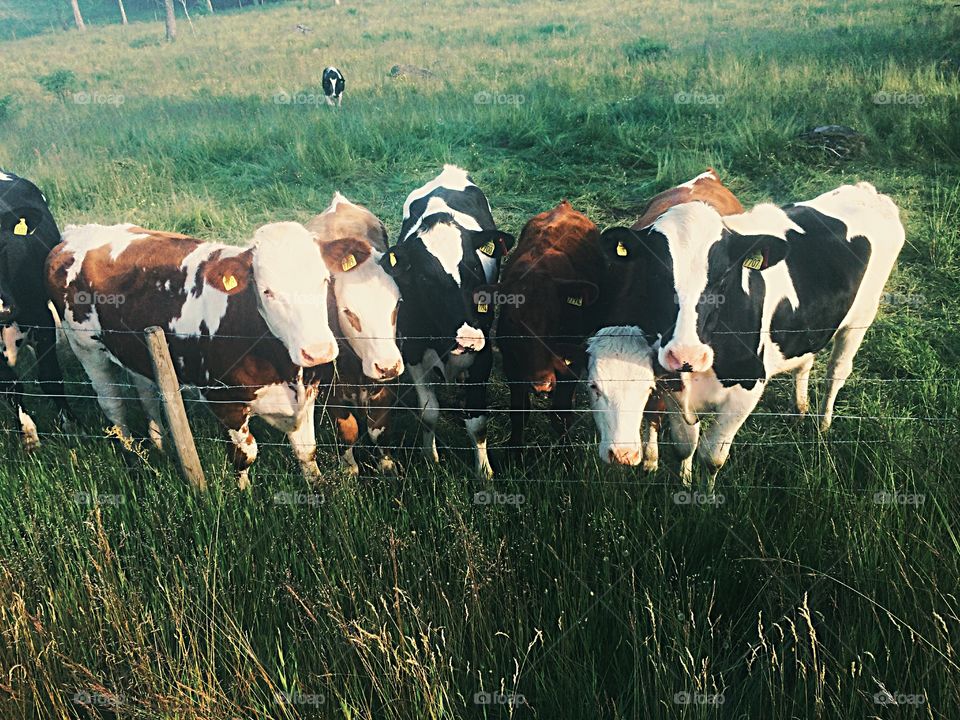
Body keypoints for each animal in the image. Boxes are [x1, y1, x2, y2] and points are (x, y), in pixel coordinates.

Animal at [0, 169, 76, 451]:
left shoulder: (42, 321)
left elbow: (50, 377)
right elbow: (10, 385)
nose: (3, 308)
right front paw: (29, 435)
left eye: (2, 246)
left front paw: (71, 426)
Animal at [46, 221, 344, 489]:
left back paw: (160, 444)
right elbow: (245, 456)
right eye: (267, 291)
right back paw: (133, 458)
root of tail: (75, 233)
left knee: (147, 394)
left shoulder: (307, 394)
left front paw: (317, 489)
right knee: (113, 405)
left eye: (324, 280)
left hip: (136, 349)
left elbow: (307, 452)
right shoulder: (224, 401)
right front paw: (245, 495)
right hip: (87, 349)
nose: (318, 351)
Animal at [305, 192, 404, 475]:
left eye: (397, 304)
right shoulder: (332, 388)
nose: (387, 366)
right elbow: (348, 431)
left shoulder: (385, 388)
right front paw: (349, 468)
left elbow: (378, 429)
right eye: (348, 312)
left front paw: (387, 464)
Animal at [382, 165, 514, 479]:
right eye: (424, 277)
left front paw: (484, 471)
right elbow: (429, 412)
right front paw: (430, 457)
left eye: (474, 266)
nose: (469, 338)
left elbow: (477, 421)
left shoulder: (484, 355)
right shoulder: (413, 353)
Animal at [598, 182, 905, 487]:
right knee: (805, 361)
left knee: (837, 371)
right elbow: (685, 445)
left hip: (861, 318)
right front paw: (684, 482)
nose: (687, 355)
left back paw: (823, 425)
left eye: (723, 277)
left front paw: (704, 494)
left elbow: (711, 457)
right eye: (654, 274)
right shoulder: (673, 386)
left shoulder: (746, 390)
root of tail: (865, 190)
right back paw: (800, 409)